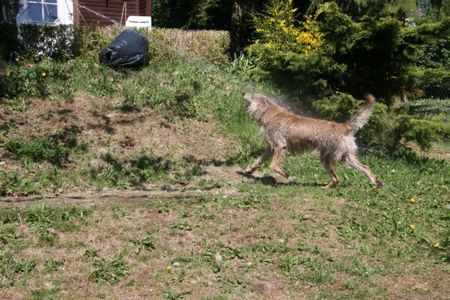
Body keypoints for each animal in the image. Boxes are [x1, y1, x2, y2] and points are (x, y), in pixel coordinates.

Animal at [244, 92, 382, 189]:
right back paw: (375, 184)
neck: (268, 112)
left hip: (326, 158)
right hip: (345, 158)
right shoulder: (271, 148)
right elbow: (259, 160)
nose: (243, 93)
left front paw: (284, 173)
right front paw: (249, 170)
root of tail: (344, 126)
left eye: (252, 94)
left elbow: (273, 165)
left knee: (337, 179)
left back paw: (325, 187)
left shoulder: (280, 146)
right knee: (365, 168)